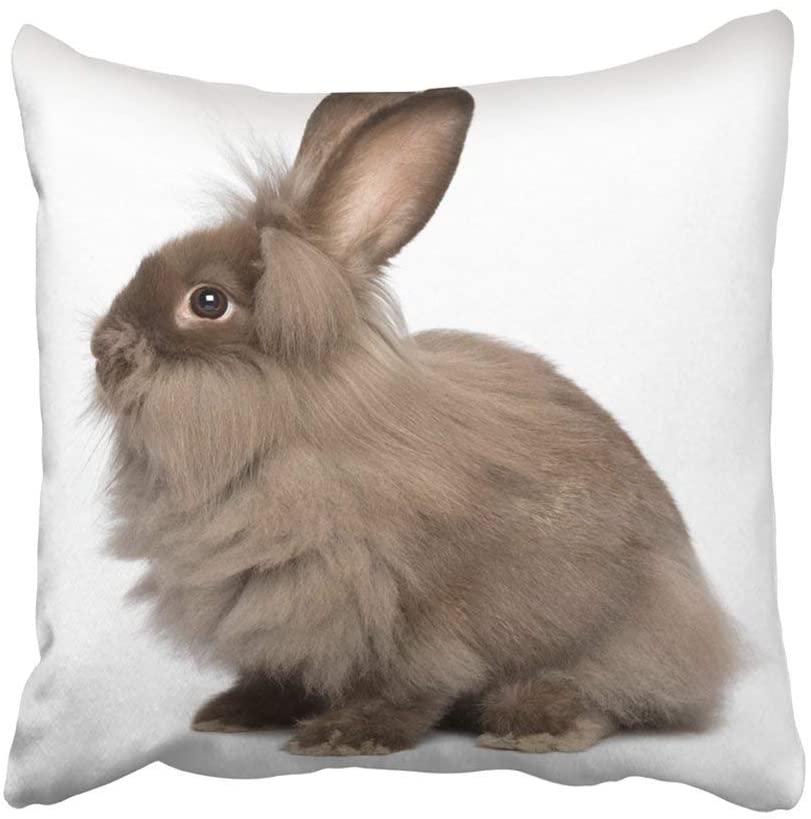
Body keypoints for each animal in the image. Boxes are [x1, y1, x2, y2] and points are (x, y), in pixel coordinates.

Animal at [91, 88, 738, 756]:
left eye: (208, 301)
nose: (102, 349)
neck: (287, 436)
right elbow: (284, 671)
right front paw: (235, 711)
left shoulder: (412, 616)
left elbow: (406, 685)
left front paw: (346, 736)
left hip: (622, 631)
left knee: (618, 691)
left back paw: (533, 724)